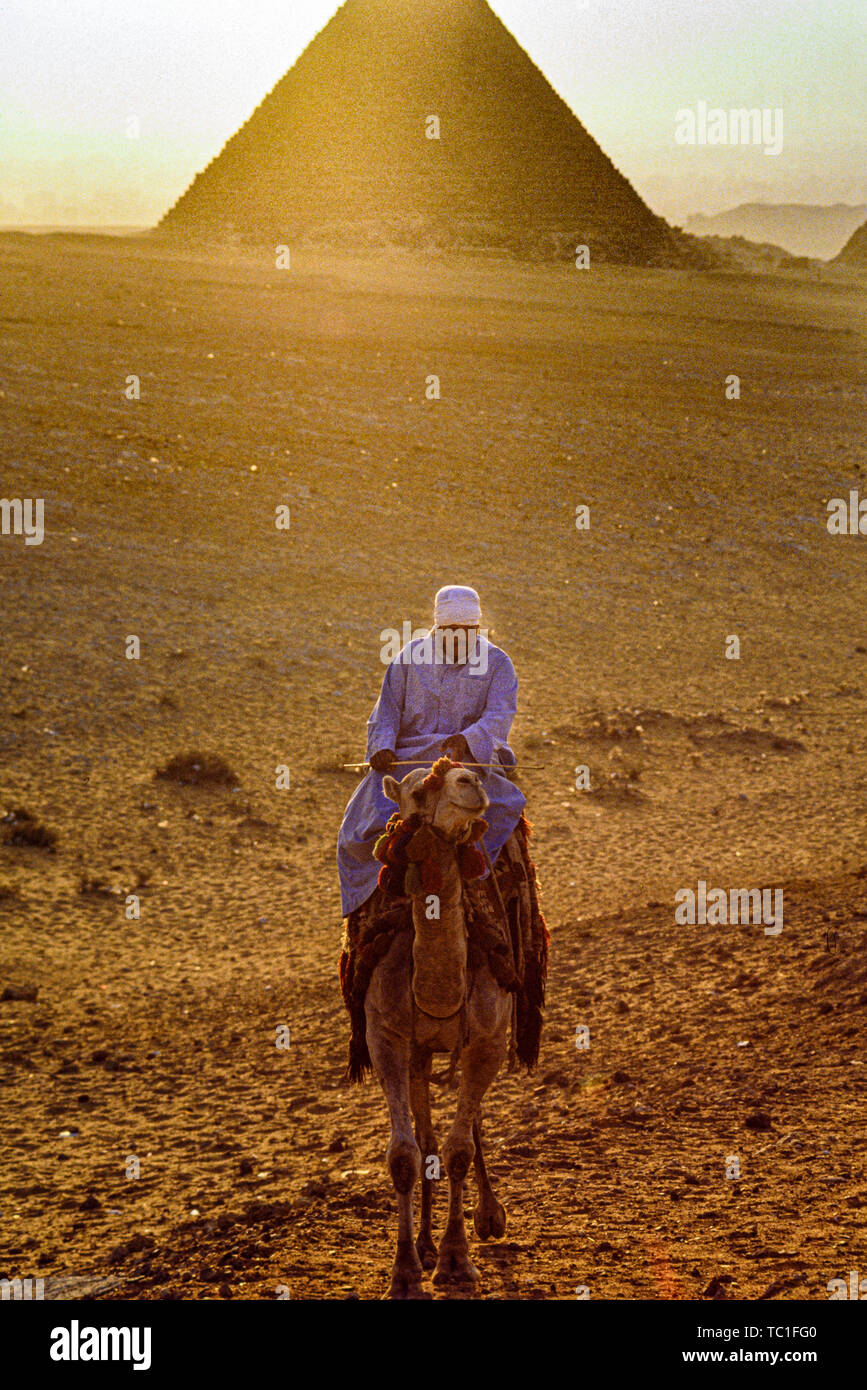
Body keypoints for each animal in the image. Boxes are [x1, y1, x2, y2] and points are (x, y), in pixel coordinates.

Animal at [361, 761, 511, 1289]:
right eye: (415, 789)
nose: (472, 782)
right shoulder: (386, 1038)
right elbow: (405, 1154)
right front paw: (406, 1270)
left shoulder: (488, 1041)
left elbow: (460, 1148)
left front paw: (456, 1260)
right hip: (419, 1052)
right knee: (425, 1141)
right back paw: (424, 1243)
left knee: (466, 1128)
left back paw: (488, 1217)